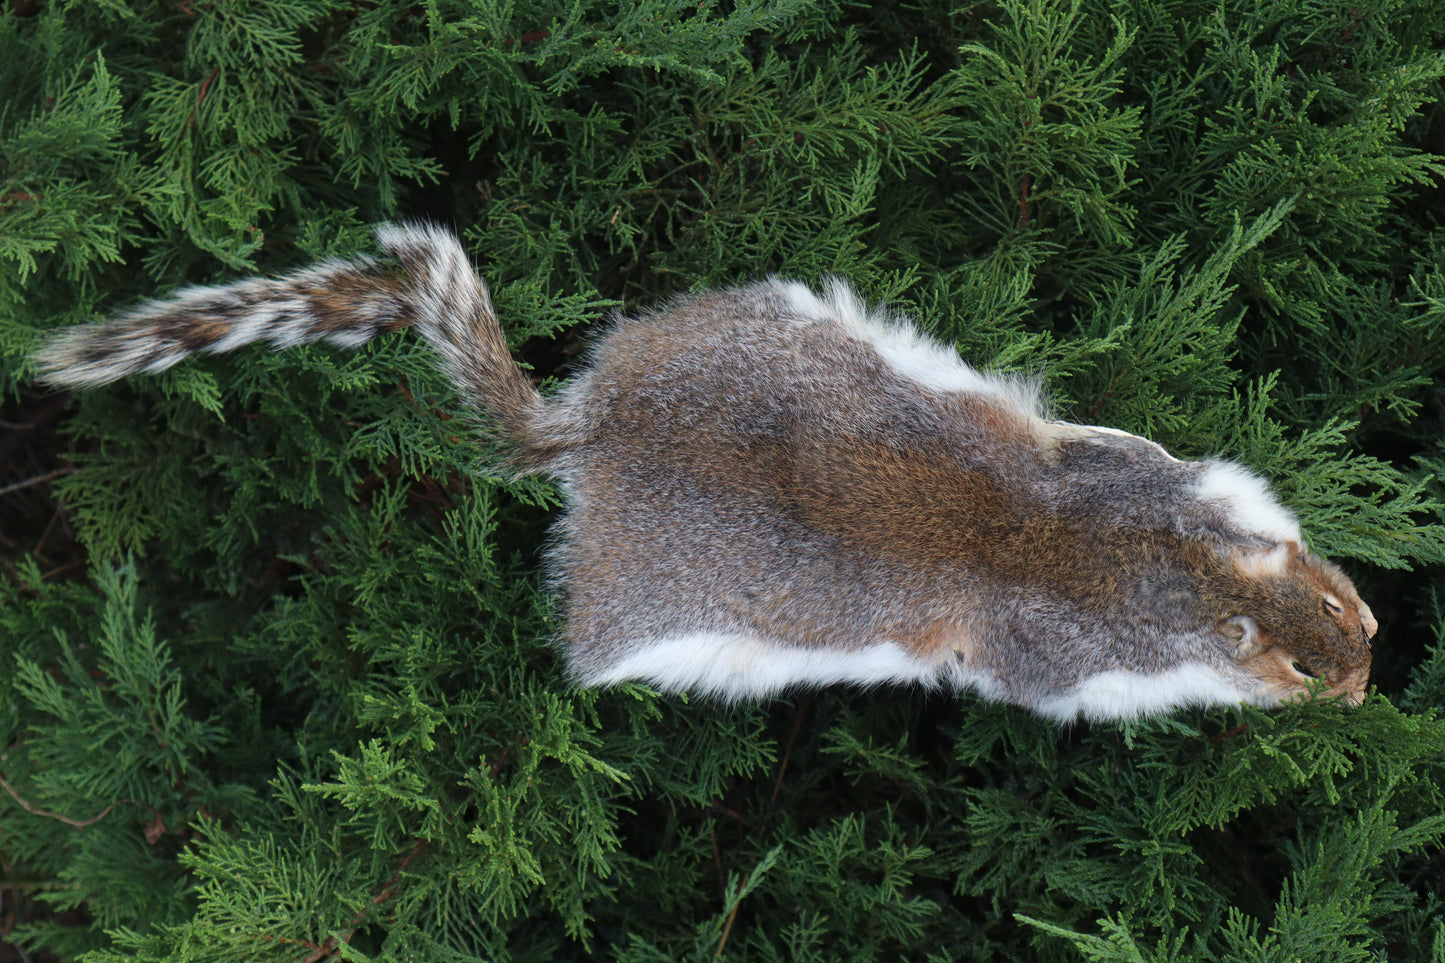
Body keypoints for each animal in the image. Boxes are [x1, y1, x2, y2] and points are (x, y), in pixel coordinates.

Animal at [32, 223, 1376, 722]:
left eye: (1346, 601)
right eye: (1306, 669)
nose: (1372, 678)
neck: (1167, 573)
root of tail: (596, 430)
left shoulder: (1131, 473)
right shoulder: (1061, 659)